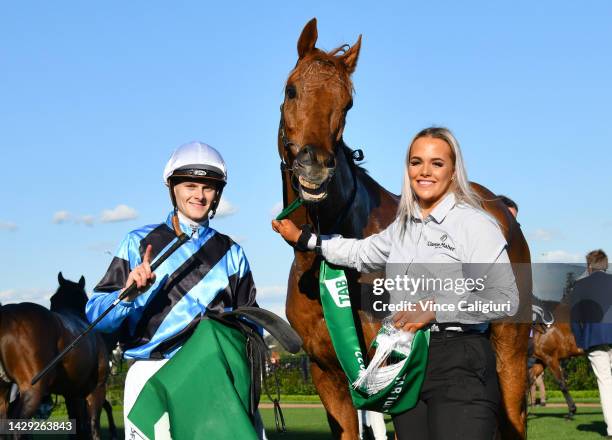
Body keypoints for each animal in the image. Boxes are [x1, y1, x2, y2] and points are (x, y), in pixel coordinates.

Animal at [0, 274, 116, 438]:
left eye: (52, 299)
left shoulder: (72, 394)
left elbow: (78, 423)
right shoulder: (97, 388)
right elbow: (93, 424)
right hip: (33, 389)